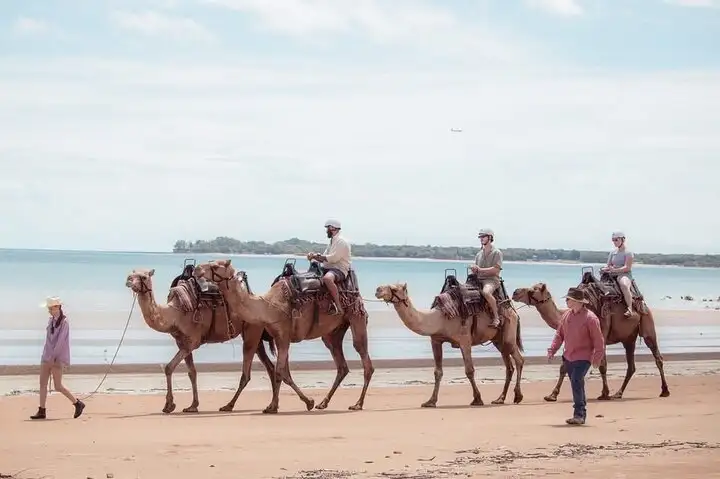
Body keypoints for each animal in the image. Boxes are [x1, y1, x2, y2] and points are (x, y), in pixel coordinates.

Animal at [125, 268, 283, 414]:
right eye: (131, 274)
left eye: (144, 276)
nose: (128, 281)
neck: (174, 313)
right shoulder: (181, 342)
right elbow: (192, 372)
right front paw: (192, 406)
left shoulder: (192, 341)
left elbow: (169, 367)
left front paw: (169, 405)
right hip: (256, 335)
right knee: (270, 367)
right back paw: (272, 406)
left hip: (251, 331)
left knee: (246, 373)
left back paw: (229, 405)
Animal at [192, 258, 375, 414]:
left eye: (215, 266)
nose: (197, 269)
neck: (269, 306)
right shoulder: (279, 338)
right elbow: (282, 372)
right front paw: (295, 403)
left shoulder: (284, 335)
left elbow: (280, 372)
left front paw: (277, 406)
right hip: (333, 332)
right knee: (340, 361)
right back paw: (324, 403)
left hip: (355, 315)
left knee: (363, 355)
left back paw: (358, 404)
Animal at [374, 282, 525, 407]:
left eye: (394, 289)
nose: (377, 290)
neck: (439, 318)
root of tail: (512, 310)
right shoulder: (436, 340)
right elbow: (437, 372)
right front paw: (430, 401)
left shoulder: (465, 340)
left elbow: (469, 370)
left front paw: (477, 399)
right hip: (498, 340)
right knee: (509, 366)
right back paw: (500, 399)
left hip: (509, 333)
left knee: (519, 360)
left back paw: (518, 396)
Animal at [511, 282, 669, 401]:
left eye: (533, 290)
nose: (515, 292)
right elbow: (564, 367)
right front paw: (552, 395)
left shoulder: (601, 336)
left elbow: (602, 366)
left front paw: (604, 393)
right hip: (629, 339)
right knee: (631, 365)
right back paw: (618, 393)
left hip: (647, 324)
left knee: (657, 356)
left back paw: (664, 391)